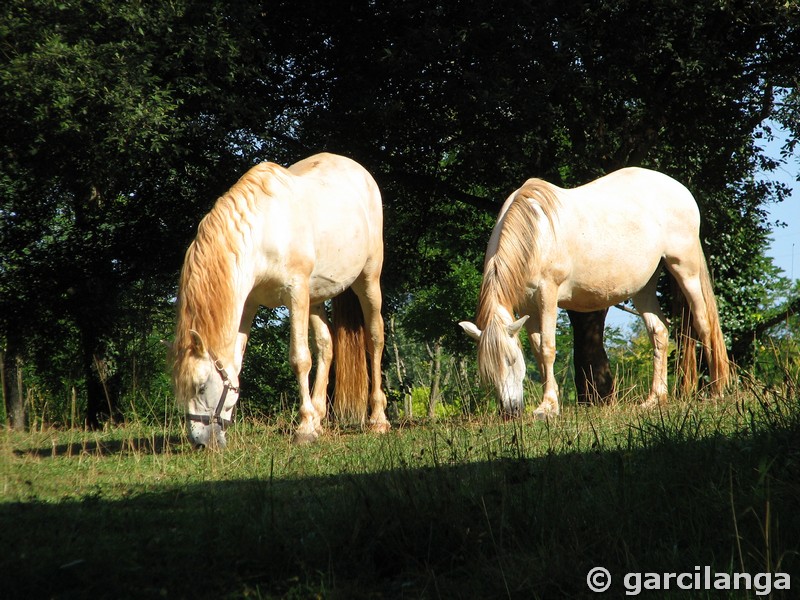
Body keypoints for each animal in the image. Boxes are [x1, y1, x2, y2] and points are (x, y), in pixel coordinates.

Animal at [170, 154, 390, 446]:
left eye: (202, 386)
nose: (200, 442)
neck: (263, 232)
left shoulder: (295, 293)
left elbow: (300, 358)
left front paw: (304, 428)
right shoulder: (249, 304)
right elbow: (237, 363)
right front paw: (311, 423)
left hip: (368, 281)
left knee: (375, 338)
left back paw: (377, 419)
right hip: (315, 297)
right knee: (326, 345)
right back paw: (320, 417)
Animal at [462, 166, 732, 420]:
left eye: (512, 360)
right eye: (487, 371)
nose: (509, 412)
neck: (536, 234)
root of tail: (681, 190)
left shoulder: (547, 295)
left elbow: (548, 348)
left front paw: (548, 407)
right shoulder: (527, 306)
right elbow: (538, 350)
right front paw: (550, 401)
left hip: (685, 269)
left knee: (704, 323)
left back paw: (716, 391)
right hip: (643, 286)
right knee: (659, 332)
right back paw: (655, 399)